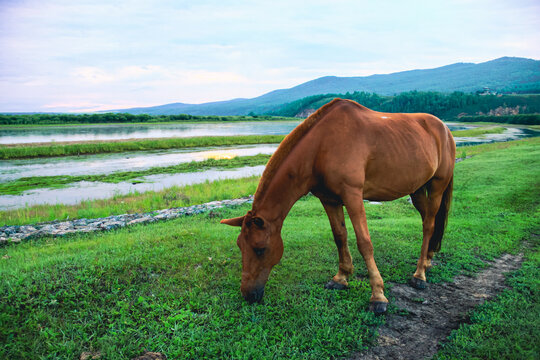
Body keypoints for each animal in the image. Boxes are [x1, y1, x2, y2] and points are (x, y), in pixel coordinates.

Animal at [221, 98, 454, 312]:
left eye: (260, 249)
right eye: (240, 246)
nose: (248, 294)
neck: (321, 147)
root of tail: (444, 129)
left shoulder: (353, 196)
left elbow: (364, 243)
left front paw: (378, 295)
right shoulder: (329, 199)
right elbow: (339, 236)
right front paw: (341, 278)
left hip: (437, 186)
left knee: (429, 225)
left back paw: (419, 275)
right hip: (417, 189)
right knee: (428, 220)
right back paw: (428, 260)